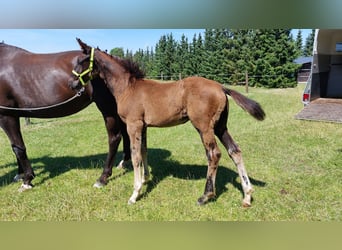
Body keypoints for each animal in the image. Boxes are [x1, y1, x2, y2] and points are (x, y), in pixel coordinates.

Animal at [0, 42, 130, 191]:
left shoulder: (6, 116)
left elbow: (18, 147)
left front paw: (27, 179)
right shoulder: (14, 114)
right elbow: (15, 146)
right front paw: (20, 174)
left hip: (107, 107)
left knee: (114, 138)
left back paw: (103, 177)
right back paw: (124, 162)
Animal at [71, 39, 266, 207]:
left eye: (82, 61)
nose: (72, 84)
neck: (128, 87)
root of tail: (221, 87)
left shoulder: (134, 125)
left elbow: (135, 156)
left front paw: (135, 193)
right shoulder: (143, 126)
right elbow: (144, 151)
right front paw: (145, 179)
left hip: (204, 126)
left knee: (214, 154)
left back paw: (205, 195)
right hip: (220, 126)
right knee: (235, 150)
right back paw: (247, 195)